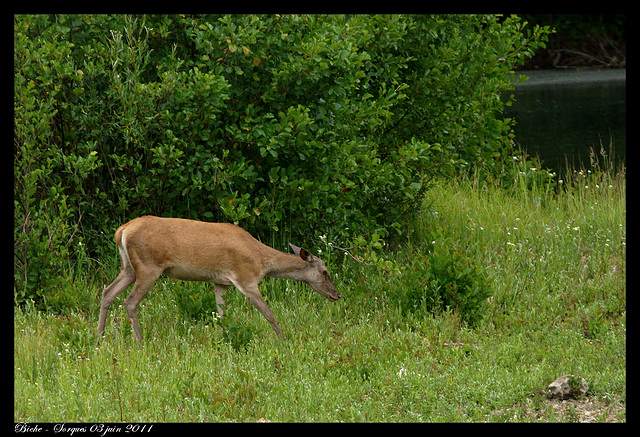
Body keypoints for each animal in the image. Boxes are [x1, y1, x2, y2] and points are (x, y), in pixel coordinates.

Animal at [96, 215, 340, 340]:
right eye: (325, 271)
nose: (337, 295)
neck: (263, 260)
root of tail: (122, 231)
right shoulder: (246, 278)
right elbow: (269, 314)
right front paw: (283, 341)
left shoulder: (221, 282)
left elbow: (221, 315)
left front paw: (223, 340)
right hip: (148, 266)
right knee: (130, 301)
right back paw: (139, 341)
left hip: (129, 267)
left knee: (107, 292)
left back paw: (99, 337)